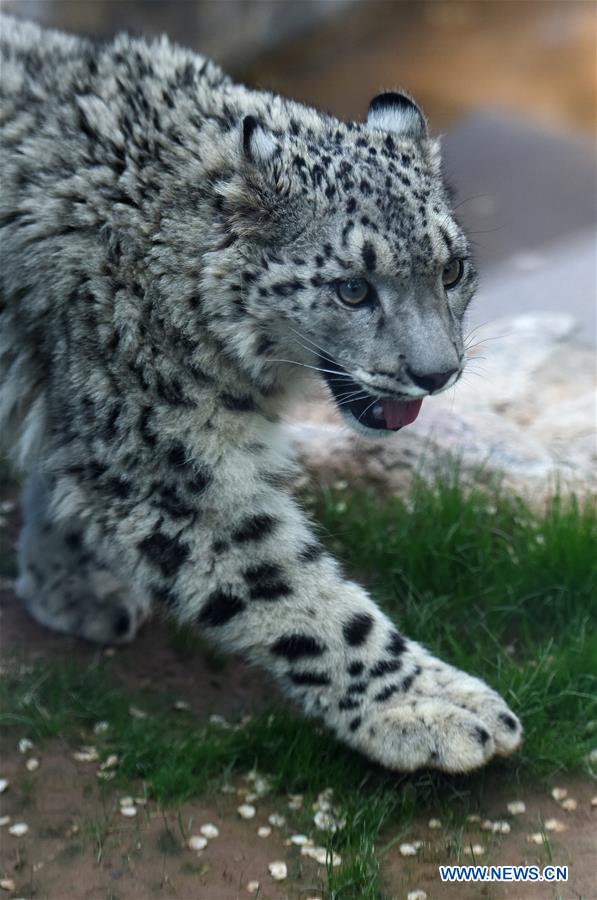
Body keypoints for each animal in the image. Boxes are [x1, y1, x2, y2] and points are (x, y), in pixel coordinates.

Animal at [0, 14, 522, 773]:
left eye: (451, 268)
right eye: (352, 288)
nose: (437, 372)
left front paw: (66, 578)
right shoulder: (166, 466)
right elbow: (296, 595)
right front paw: (431, 709)